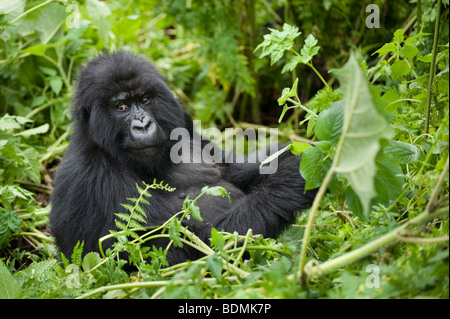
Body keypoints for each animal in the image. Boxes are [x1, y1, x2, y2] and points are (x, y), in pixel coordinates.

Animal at [50, 50, 316, 264]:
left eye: (145, 99)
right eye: (121, 107)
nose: (143, 125)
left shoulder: (184, 122)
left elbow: (231, 169)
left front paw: (300, 153)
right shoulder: (94, 174)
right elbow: (199, 248)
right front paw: (292, 178)